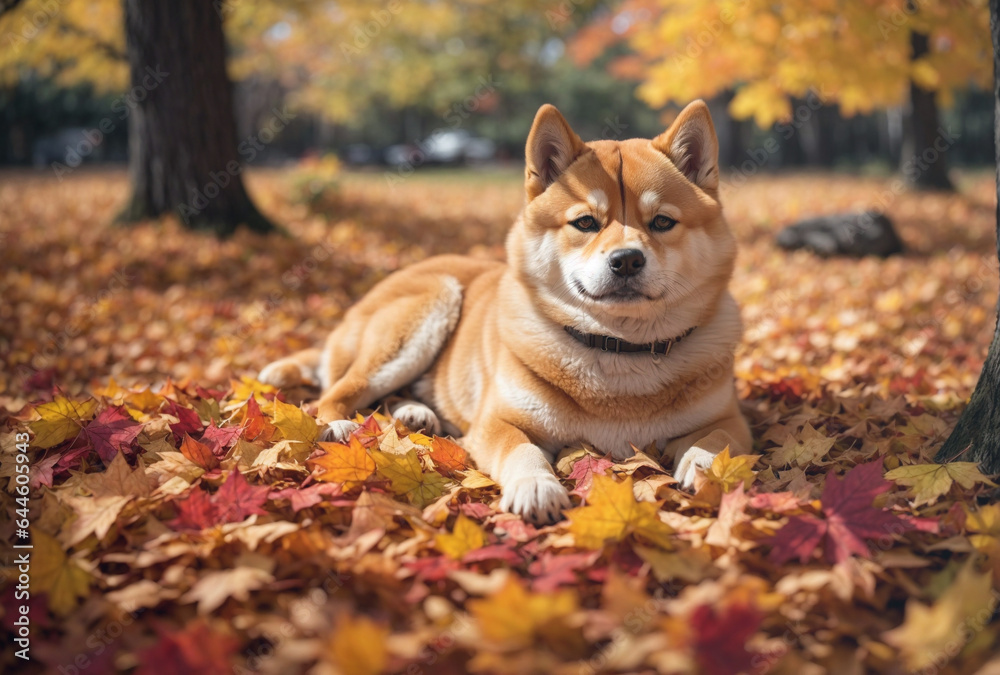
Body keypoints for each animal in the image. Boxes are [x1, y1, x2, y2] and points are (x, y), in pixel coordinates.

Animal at [258, 101, 752, 524]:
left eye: (663, 222)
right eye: (585, 222)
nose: (627, 260)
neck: (618, 350)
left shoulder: (730, 419)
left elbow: (720, 440)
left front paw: (705, 467)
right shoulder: (498, 421)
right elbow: (521, 448)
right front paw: (536, 486)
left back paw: (415, 413)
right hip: (428, 307)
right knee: (336, 392)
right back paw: (342, 423)